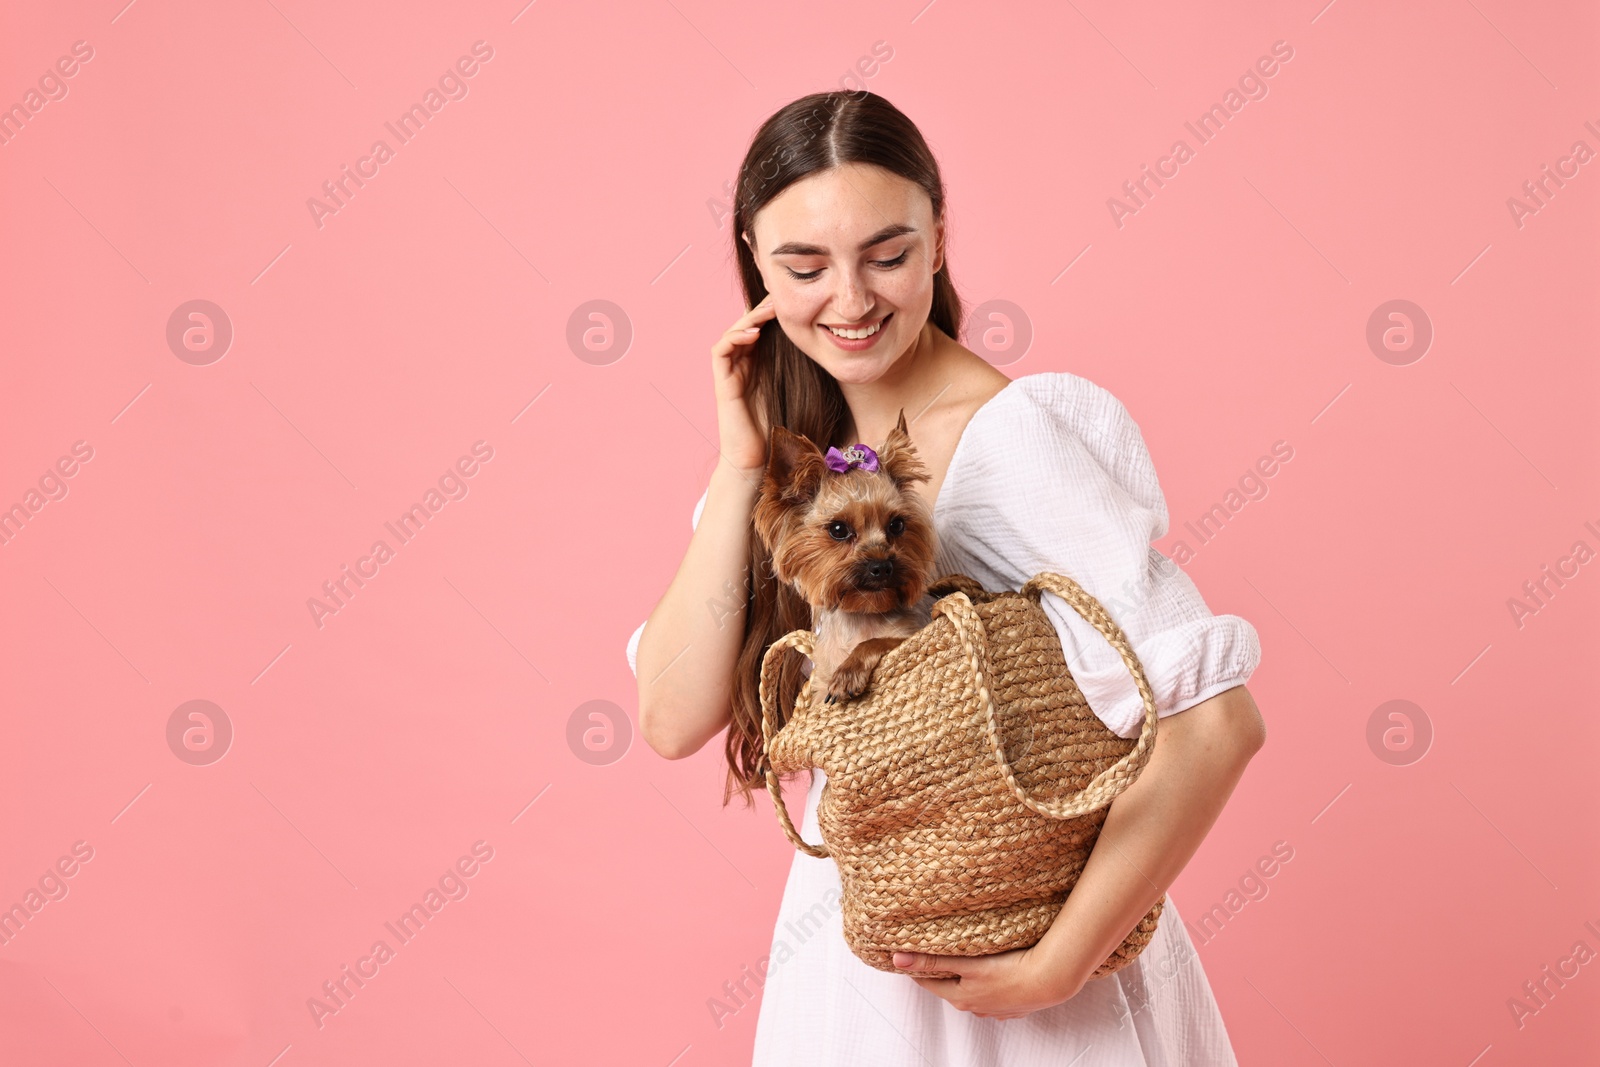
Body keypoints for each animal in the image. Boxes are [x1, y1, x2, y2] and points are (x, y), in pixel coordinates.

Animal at [748, 412, 934, 703]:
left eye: (897, 525)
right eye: (838, 530)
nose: (881, 566)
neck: (862, 616)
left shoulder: (911, 635)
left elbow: (878, 641)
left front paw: (849, 673)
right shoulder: (819, 682)